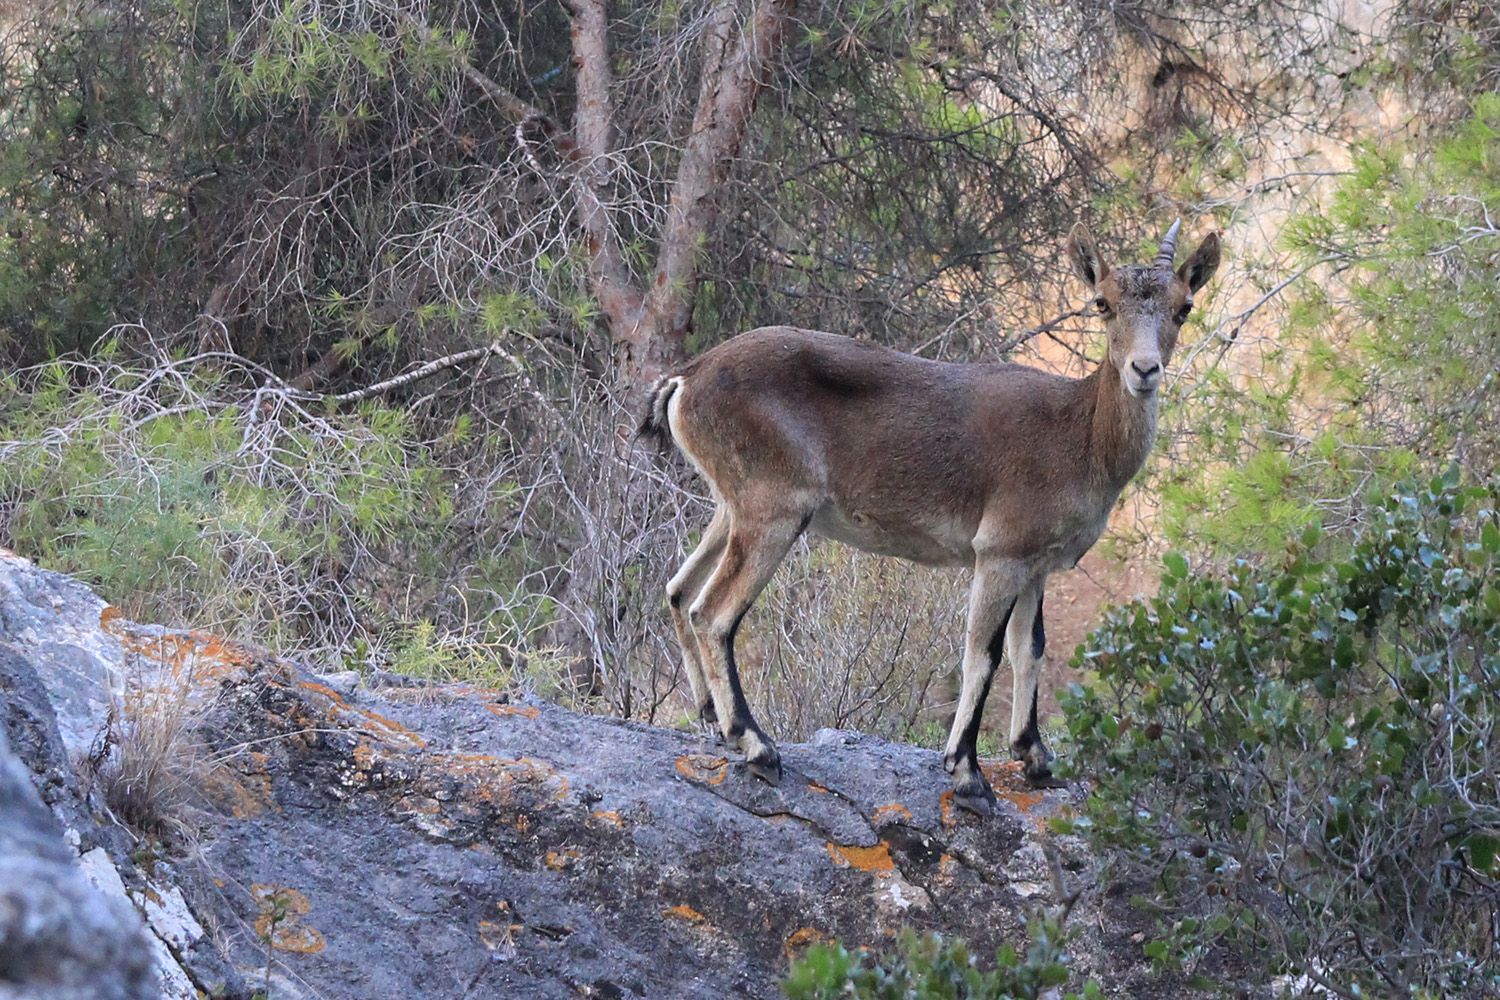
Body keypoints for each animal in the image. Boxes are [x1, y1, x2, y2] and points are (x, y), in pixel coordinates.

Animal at [642, 223, 1218, 809]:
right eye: (1102, 303)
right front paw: (967, 774)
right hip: (772, 510)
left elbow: (1029, 648)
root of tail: (686, 379)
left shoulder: (1035, 565)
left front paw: (1034, 758)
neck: (1078, 433)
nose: (1144, 370)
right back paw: (757, 746)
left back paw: (711, 719)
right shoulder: (1000, 554)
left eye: (1184, 307)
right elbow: (984, 653)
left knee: (679, 590)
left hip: (731, 507)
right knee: (714, 613)